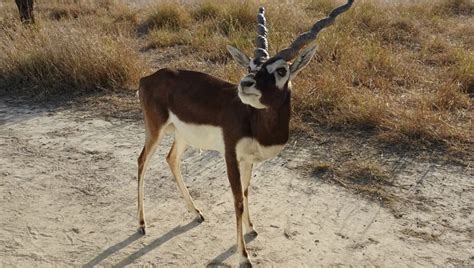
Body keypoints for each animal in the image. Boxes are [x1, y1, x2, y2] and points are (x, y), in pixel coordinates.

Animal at [136, 1, 352, 266]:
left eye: (281, 71)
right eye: (251, 66)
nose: (245, 83)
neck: (254, 121)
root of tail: (147, 78)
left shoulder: (249, 160)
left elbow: (247, 192)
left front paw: (251, 228)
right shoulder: (230, 155)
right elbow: (238, 200)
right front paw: (243, 256)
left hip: (181, 135)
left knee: (171, 159)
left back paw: (196, 213)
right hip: (155, 129)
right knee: (142, 161)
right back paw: (142, 224)